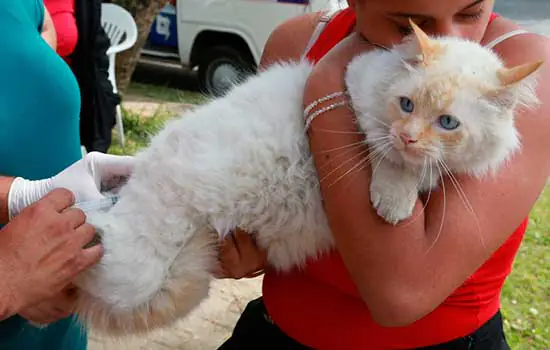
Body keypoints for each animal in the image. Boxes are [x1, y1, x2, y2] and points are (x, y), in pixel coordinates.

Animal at [73, 21, 544, 334]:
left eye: (448, 122)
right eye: (406, 104)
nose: (409, 137)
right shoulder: (354, 89)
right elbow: (384, 153)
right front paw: (394, 198)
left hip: (179, 271)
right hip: (141, 261)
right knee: (97, 242)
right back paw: (74, 214)